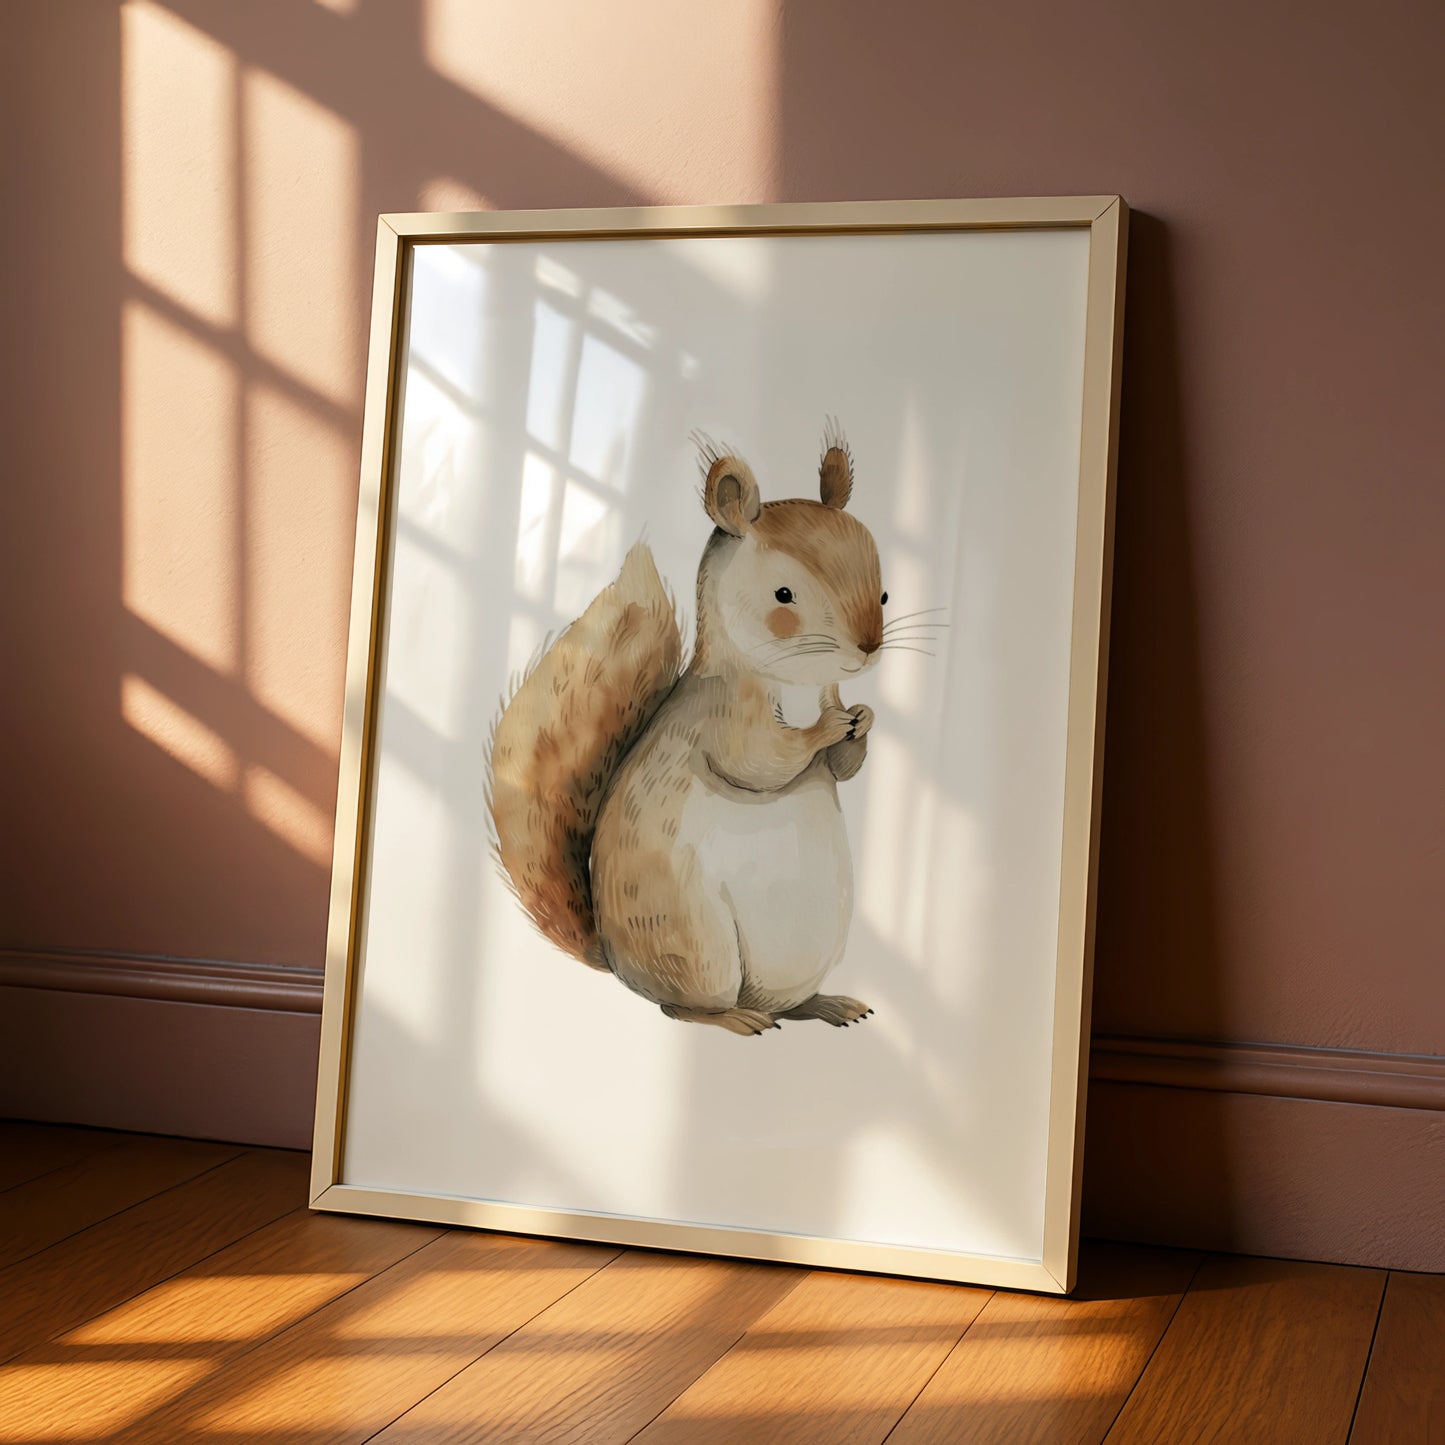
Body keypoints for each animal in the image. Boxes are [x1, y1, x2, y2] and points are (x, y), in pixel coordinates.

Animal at [488, 427, 889, 1036]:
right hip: (698, 943)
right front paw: (825, 726)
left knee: (785, 1003)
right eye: (784, 595)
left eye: (885, 593)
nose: (868, 647)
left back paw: (826, 1005)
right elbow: (761, 759)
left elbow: (843, 768)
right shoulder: (722, 718)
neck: (792, 683)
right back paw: (736, 1019)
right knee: (680, 1006)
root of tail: (618, 962)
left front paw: (862, 719)